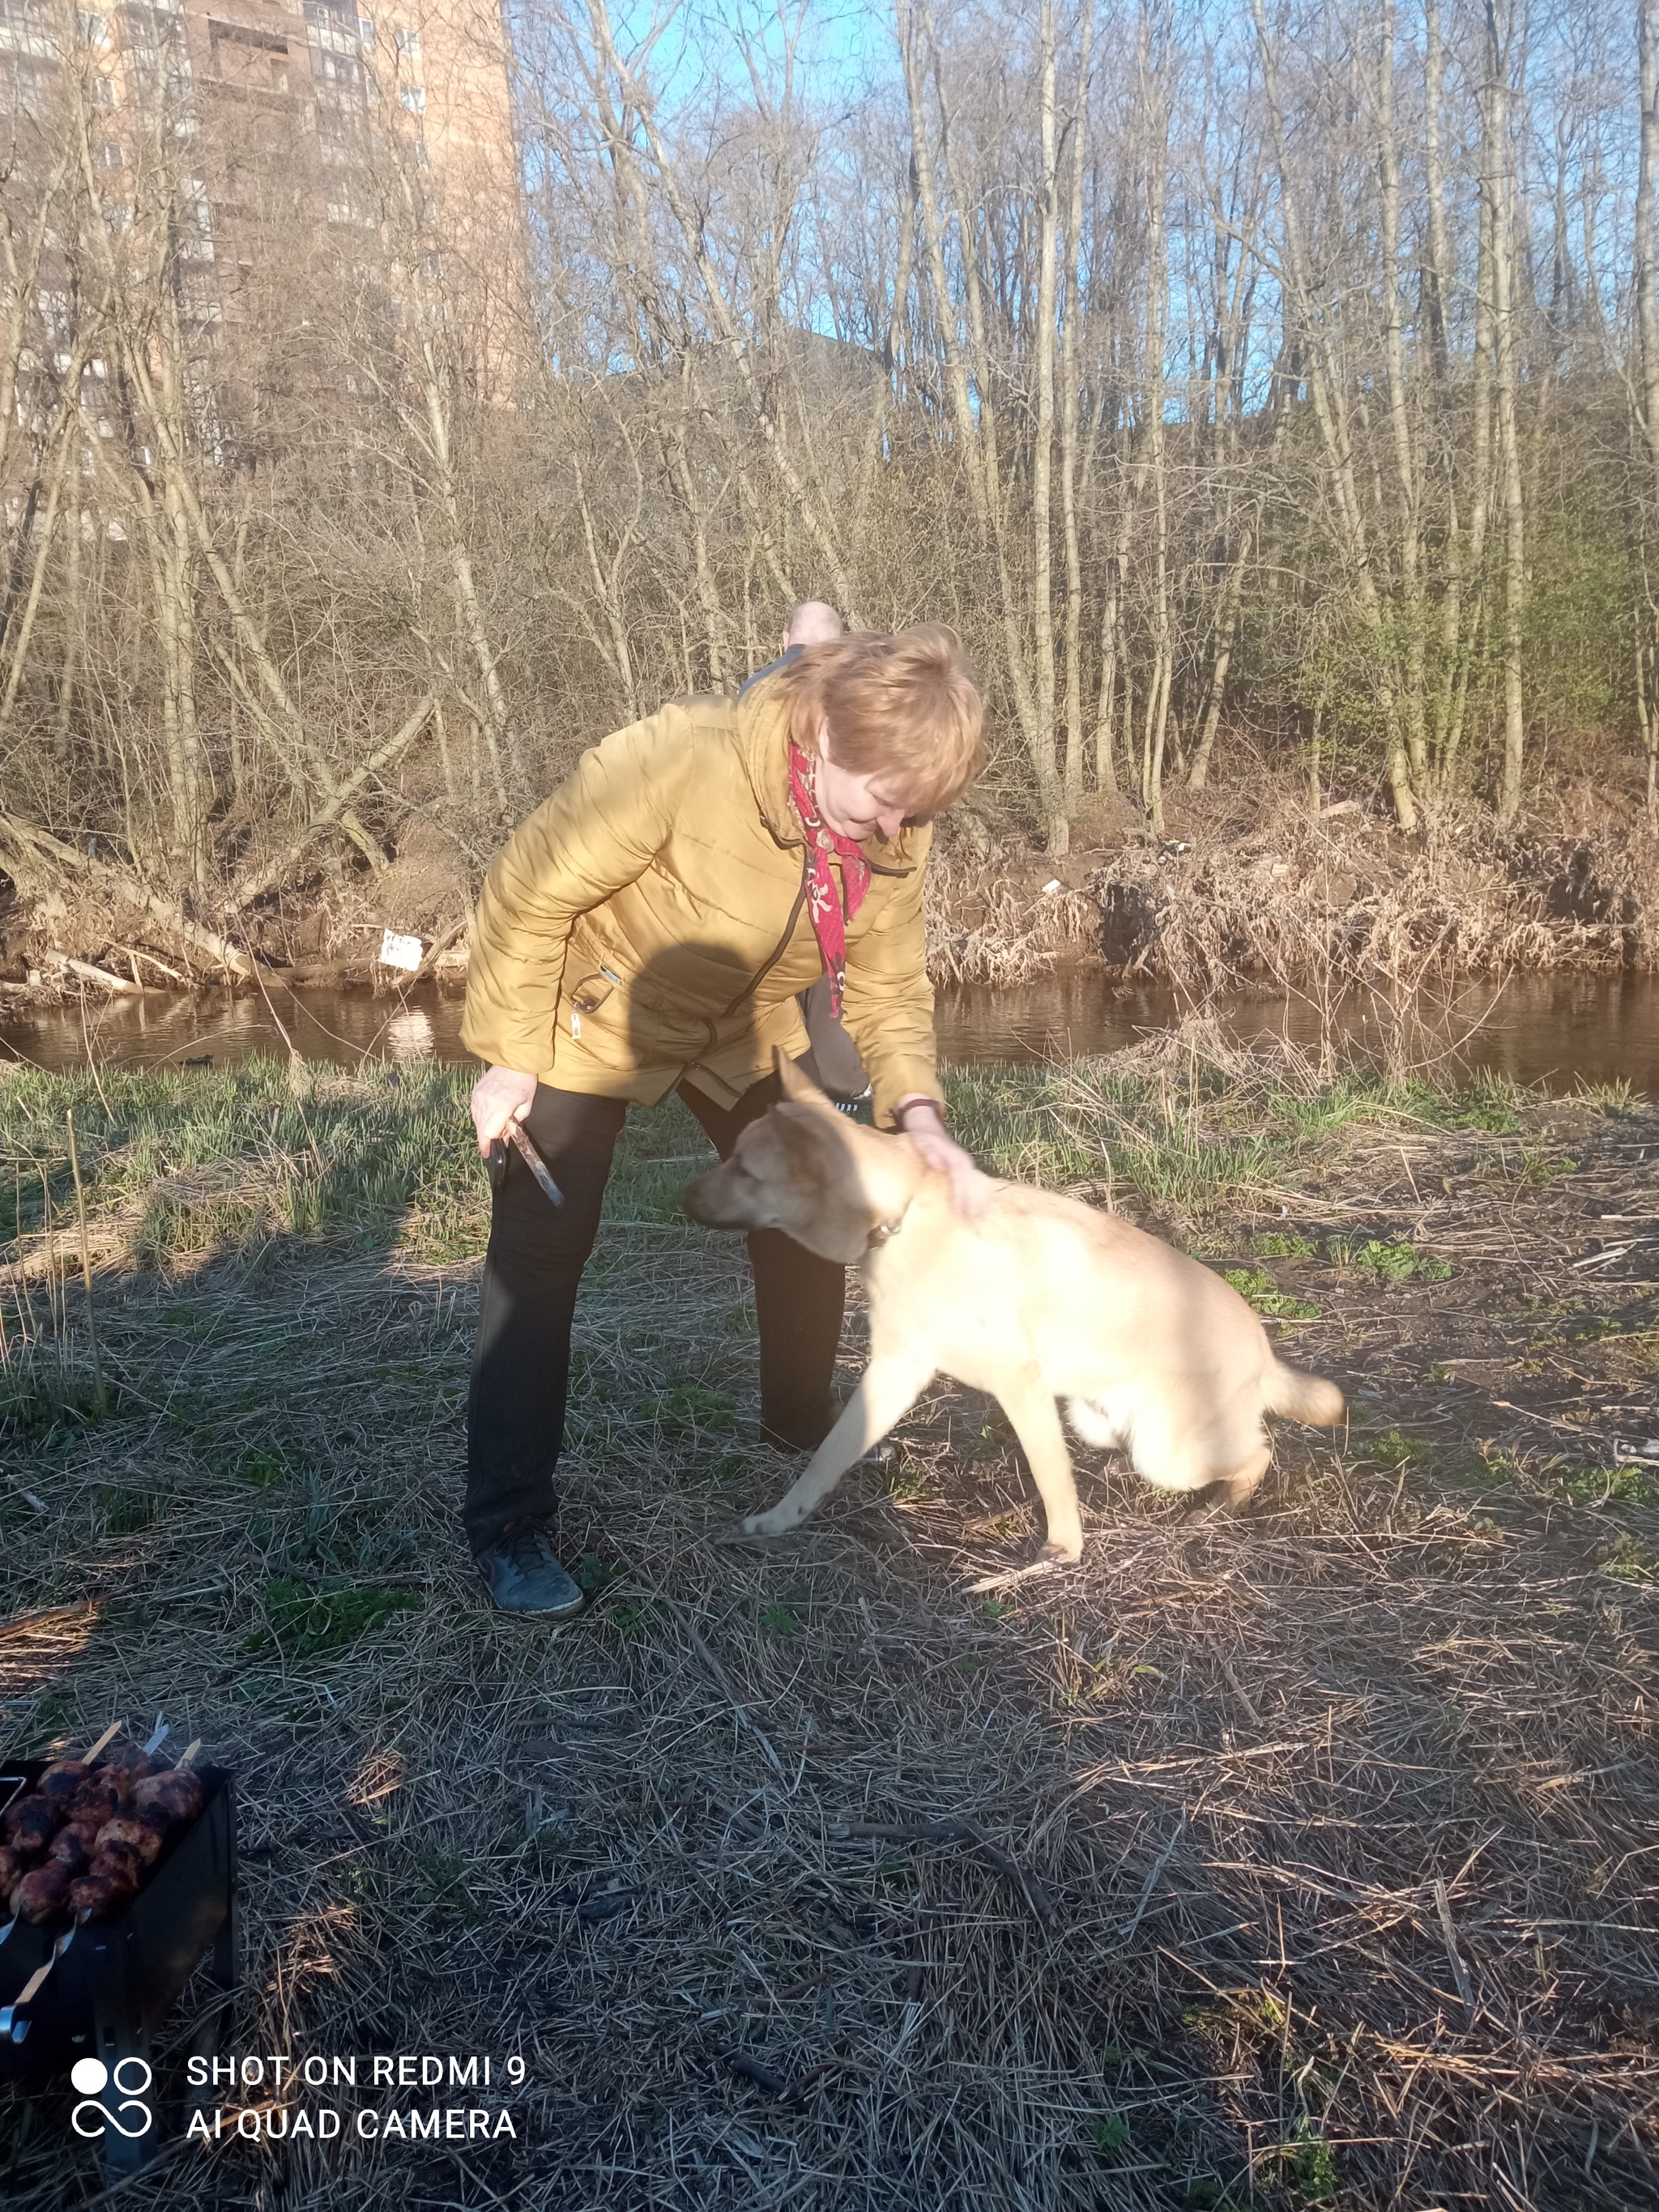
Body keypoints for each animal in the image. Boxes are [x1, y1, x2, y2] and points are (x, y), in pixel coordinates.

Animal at [689, 1048, 1354, 1557]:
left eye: (746, 1170)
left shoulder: (1020, 1387)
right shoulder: (894, 1372)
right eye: (735, 1157)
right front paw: (779, 1520)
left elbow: (1051, 1479)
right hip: (1098, 1419)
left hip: (1168, 1449)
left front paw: (1063, 1551)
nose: (683, 1201)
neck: (904, 1217)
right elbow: (825, 1461)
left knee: (1258, 1452)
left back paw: (1221, 1504)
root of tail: (1263, 1353)